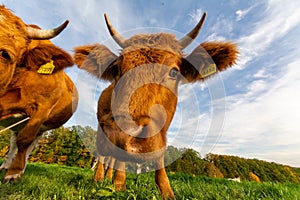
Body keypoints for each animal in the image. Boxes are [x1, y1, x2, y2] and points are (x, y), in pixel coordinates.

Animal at [0, 5, 78, 183]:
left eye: (5, 54)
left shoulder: (42, 110)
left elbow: (25, 140)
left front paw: (14, 173)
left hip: (41, 127)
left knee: (29, 143)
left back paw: (20, 168)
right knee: (14, 141)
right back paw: (5, 165)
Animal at [74, 12, 238, 200]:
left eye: (174, 72)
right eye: (117, 69)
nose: (119, 133)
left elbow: (159, 158)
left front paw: (166, 191)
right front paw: (118, 185)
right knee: (103, 155)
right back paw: (100, 178)